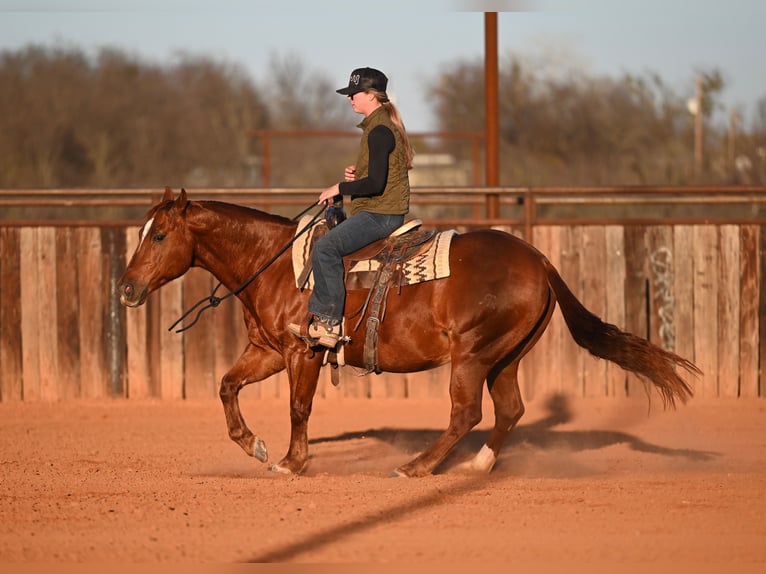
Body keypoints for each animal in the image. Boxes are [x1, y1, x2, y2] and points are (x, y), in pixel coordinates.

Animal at [118, 187, 698, 477]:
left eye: (160, 234)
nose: (125, 288)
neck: (278, 263)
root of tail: (538, 258)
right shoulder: (267, 350)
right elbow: (226, 386)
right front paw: (253, 446)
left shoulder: (303, 351)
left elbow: (299, 408)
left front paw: (292, 462)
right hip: (504, 357)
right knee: (509, 411)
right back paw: (478, 466)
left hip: (472, 355)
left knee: (466, 414)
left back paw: (417, 467)